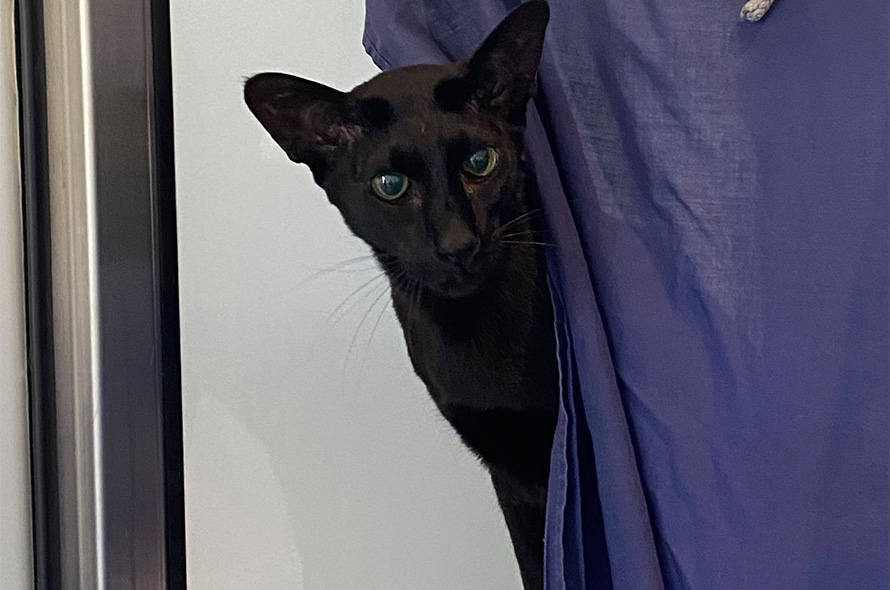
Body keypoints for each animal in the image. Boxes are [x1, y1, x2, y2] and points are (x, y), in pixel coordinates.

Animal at [245, 2, 556, 588]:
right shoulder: (510, 473)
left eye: (480, 162)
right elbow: (535, 567)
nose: (458, 244)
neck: (478, 337)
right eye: (390, 186)